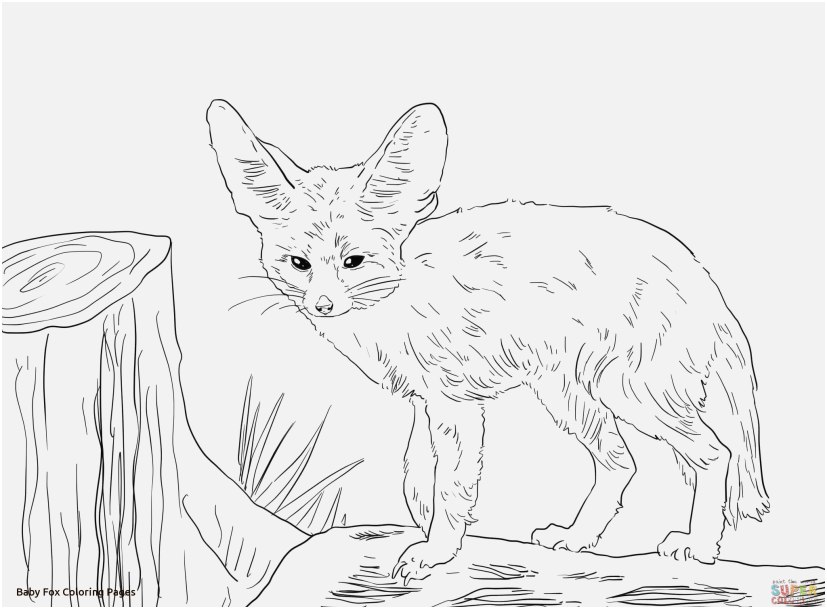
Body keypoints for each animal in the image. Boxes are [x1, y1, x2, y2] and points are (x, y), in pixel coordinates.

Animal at [206, 100, 769, 582]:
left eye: (354, 262)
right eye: (298, 264)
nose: (322, 305)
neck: (398, 299)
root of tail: (698, 274)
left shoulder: (454, 402)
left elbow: (451, 483)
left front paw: (436, 551)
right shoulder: (427, 401)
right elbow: (417, 476)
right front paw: (433, 533)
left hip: (633, 395)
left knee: (714, 454)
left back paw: (699, 547)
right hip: (570, 398)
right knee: (621, 461)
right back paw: (578, 537)